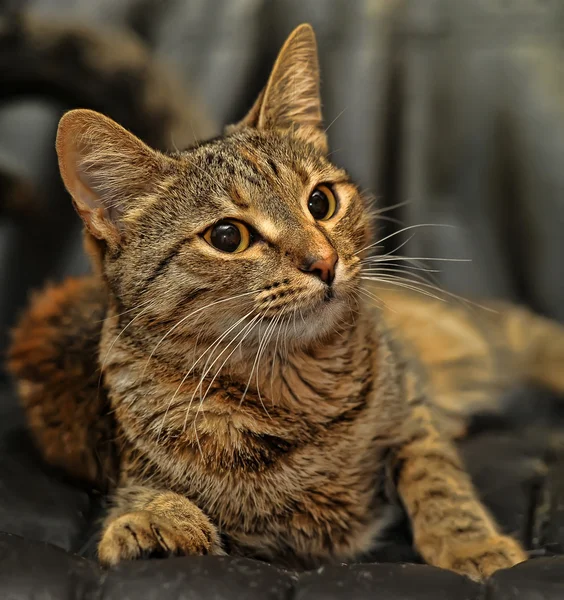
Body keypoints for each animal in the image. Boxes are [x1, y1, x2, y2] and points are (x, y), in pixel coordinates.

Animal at [7, 23, 564, 580]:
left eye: (321, 201)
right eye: (227, 236)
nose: (324, 261)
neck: (293, 383)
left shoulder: (411, 410)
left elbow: (437, 477)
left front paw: (470, 543)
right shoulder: (138, 470)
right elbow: (149, 497)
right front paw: (153, 525)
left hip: (480, 346)